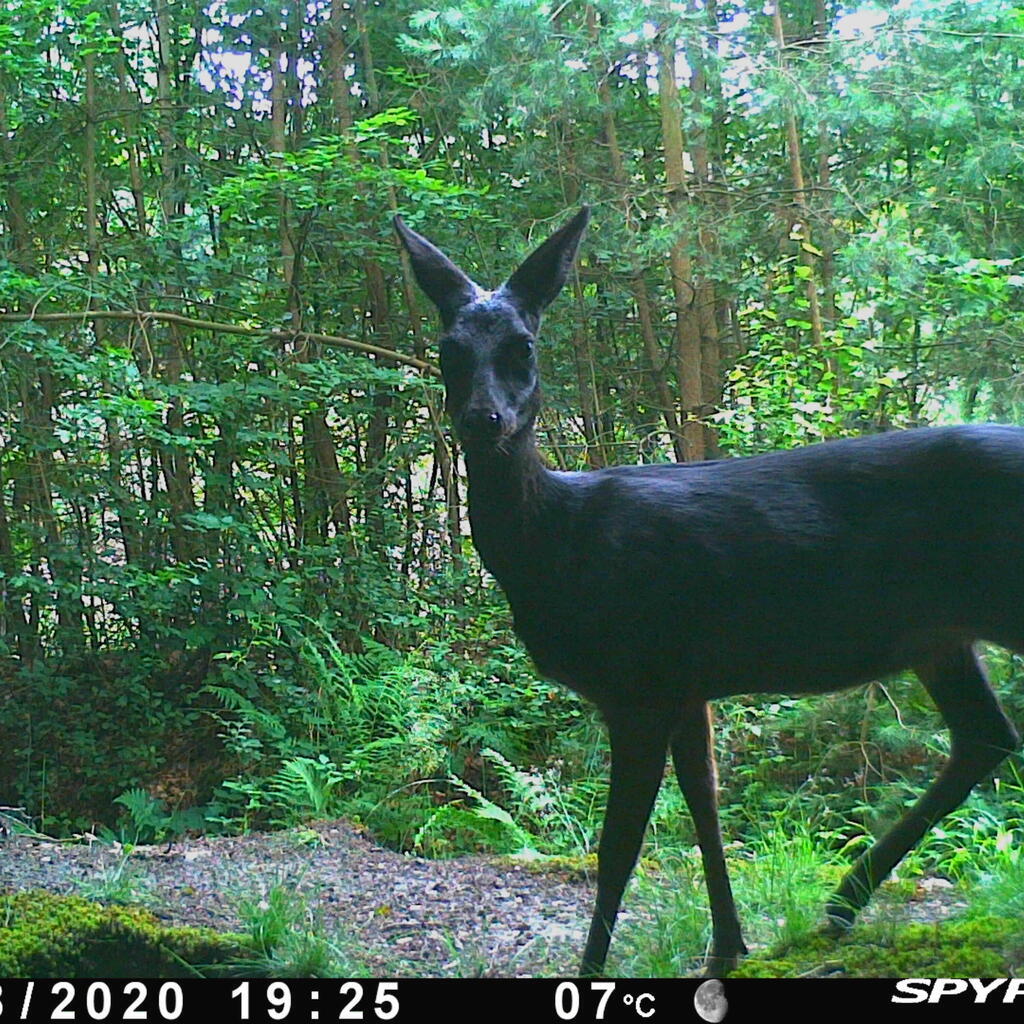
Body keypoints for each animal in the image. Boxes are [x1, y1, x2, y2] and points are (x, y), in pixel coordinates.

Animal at [393, 205, 1024, 974]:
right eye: (448, 350)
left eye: (524, 347)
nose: (482, 419)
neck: (557, 544)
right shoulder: (684, 681)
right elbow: (705, 803)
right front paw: (729, 945)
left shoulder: (636, 679)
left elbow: (619, 847)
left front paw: (594, 970)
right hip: (938, 635)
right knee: (985, 737)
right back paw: (843, 902)